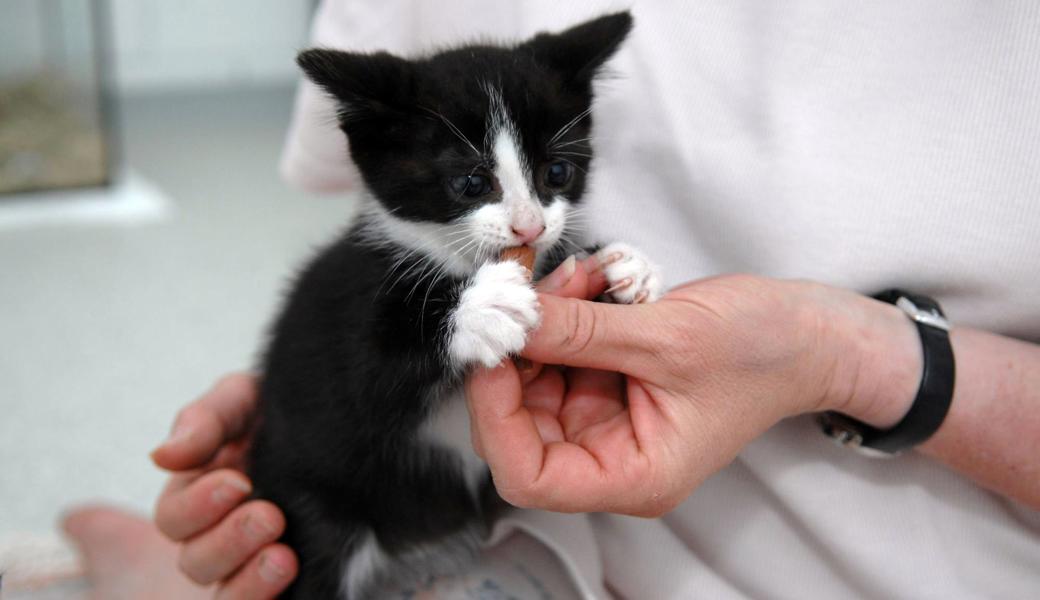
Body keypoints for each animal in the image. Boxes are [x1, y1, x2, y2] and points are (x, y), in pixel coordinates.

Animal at [247, 11, 661, 594]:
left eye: (558, 172)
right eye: (470, 182)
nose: (529, 227)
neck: (454, 262)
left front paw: (622, 267)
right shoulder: (345, 311)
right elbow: (368, 365)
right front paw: (482, 308)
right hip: (312, 502)